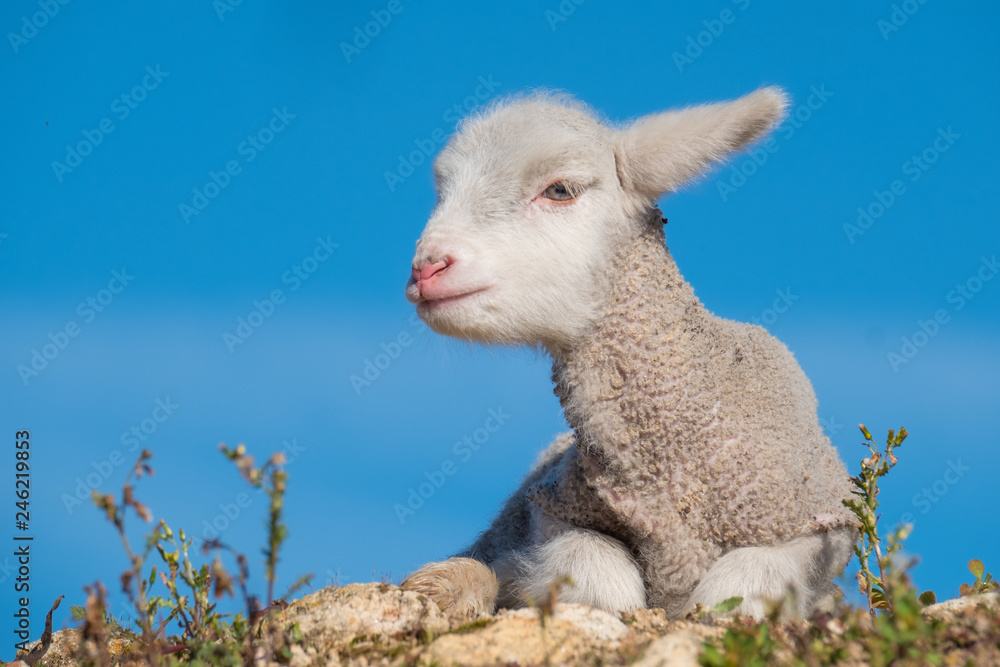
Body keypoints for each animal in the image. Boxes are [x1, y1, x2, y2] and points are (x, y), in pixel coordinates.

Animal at [400, 87, 857, 620]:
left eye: (560, 189)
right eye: (443, 191)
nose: (427, 269)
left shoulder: (822, 525)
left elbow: (740, 585)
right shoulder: (551, 504)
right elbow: (600, 578)